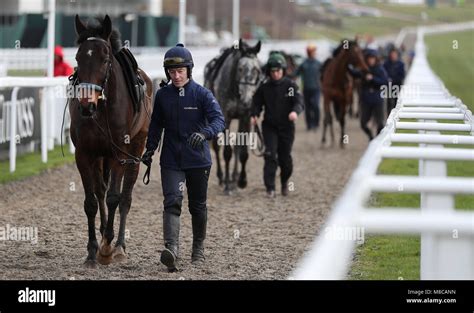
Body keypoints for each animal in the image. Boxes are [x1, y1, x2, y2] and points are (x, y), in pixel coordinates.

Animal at [70, 15, 152, 266]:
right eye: (78, 58)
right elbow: (91, 201)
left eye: (105, 59)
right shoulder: (84, 154)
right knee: (100, 190)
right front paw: (92, 250)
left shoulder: (120, 152)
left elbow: (115, 197)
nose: (86, 105)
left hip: (136, 148)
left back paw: (119, 245)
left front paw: (106, 247)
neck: (101, 109)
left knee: (125, 196)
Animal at [204, 39, 262, 193]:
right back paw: (222, 177)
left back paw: (234, 177)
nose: (247, 100)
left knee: (237, 146)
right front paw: (227, 186)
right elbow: (227, 151)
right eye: (240, 68)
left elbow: (242, 152)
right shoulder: (226, 117)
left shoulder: (245, 117)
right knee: (217, 147)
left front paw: (241, 181)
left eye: (257, 69)